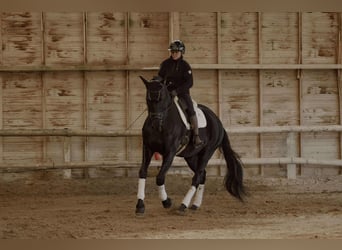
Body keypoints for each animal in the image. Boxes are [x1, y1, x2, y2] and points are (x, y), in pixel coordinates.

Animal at [135, 75, 244, 215]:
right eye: (148, 99)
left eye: (162, 98)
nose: (155, 123)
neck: (163, 124)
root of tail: (218, 122)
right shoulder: (148, 148)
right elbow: (142, 172)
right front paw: (140, 205)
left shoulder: (170, 152)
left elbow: (160, 177)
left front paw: (167, 202)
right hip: (191, 156)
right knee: (202, 175)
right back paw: (195, 204)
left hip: (207, 152)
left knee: (197, 177)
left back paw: (183, 205)